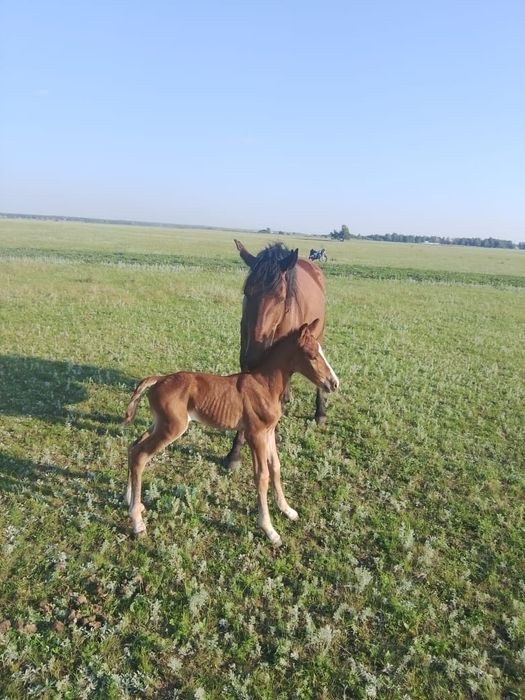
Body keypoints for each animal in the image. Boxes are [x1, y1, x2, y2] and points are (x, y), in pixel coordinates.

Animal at [123, 321, 339, 545]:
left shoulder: (269, 432)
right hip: (172, 428)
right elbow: (262, 475)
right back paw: (137, 523)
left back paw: (130, 500)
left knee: (133, 446)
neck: (264, 385)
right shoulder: (255, 434)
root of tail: (158, 380)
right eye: (312, 355)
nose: (334, 383)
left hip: (159, 424)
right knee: (140, 456)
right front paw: (269, 530)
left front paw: (287, 510)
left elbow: (276, 467)